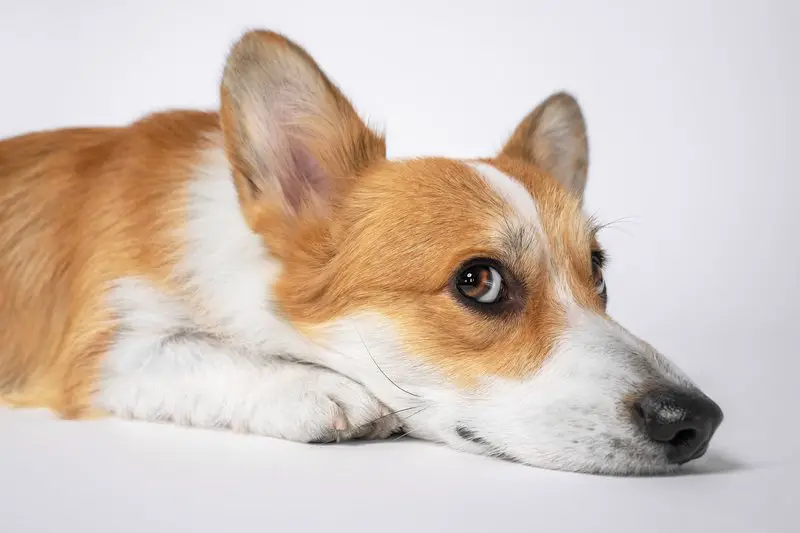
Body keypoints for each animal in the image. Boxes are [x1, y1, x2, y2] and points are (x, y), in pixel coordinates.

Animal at [0, 29, 720, 472]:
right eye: (479, 281)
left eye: (598, 275)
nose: (697, 421)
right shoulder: (99, 353)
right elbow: (191, 353)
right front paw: (316, 388)